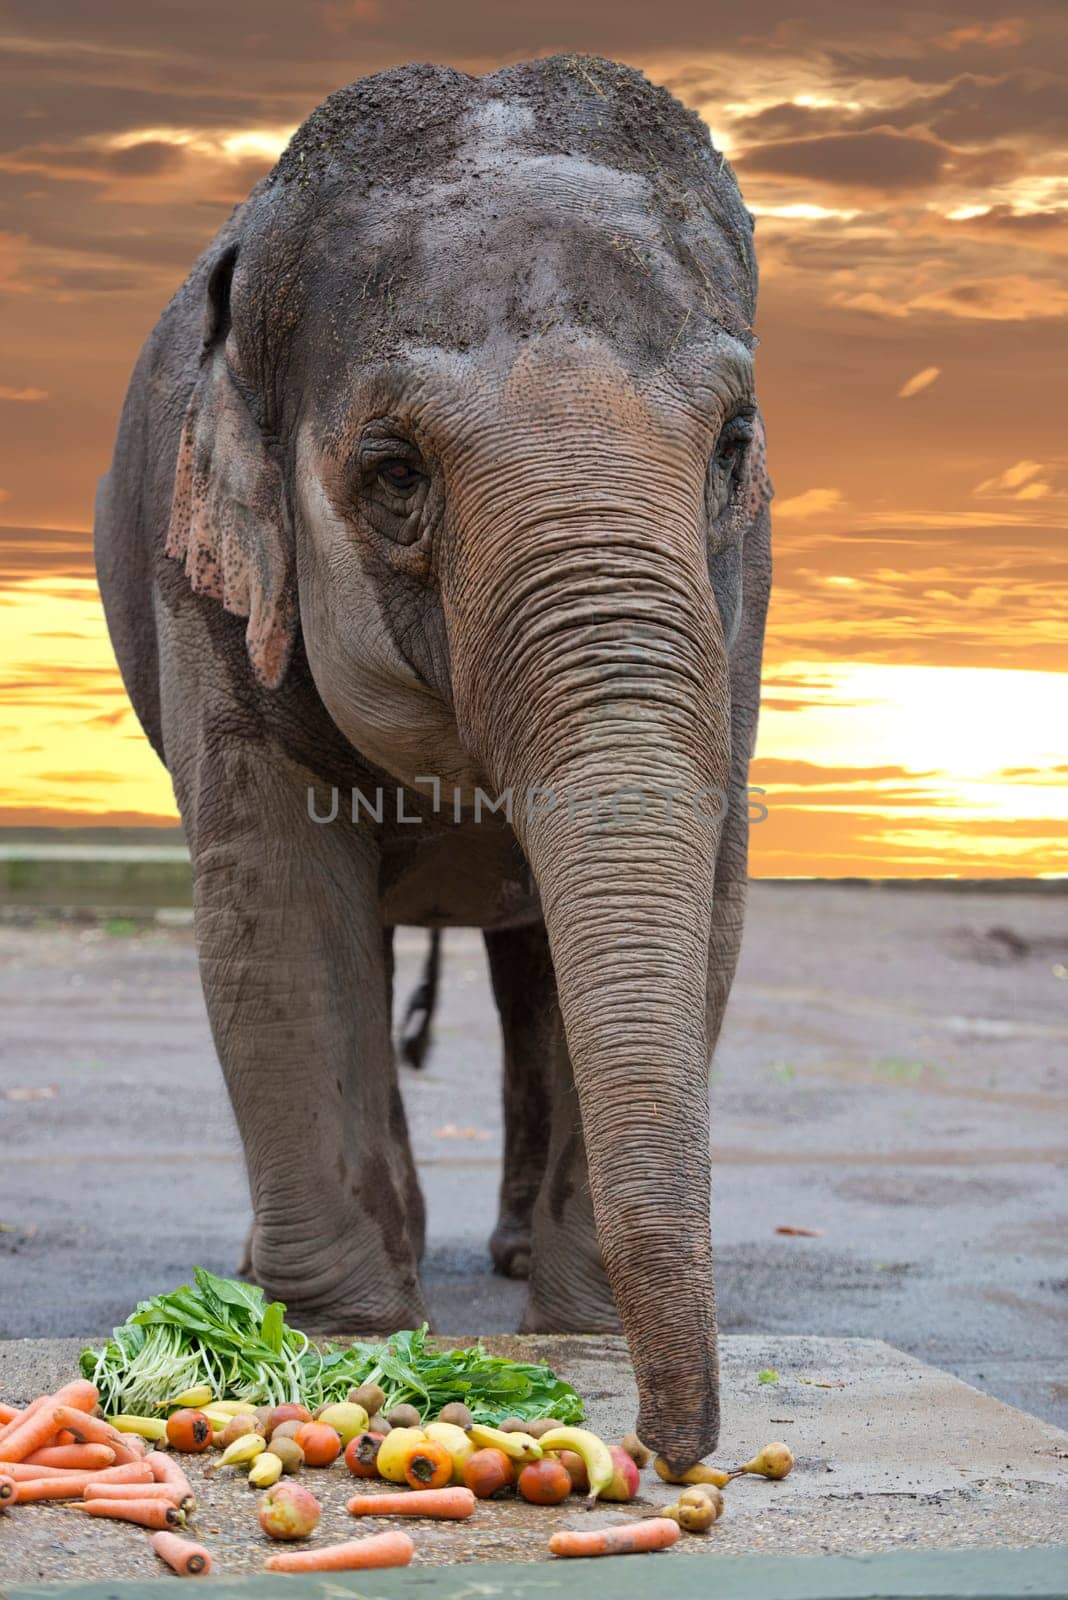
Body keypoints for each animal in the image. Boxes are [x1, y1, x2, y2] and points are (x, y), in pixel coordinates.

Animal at [93, 56, 767, 1465]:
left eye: (734, 444)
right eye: (394, 474)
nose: (670, 1446)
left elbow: (704, 904)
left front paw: (570, 1336)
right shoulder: (205, 587)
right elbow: (275, 914)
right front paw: (342, 1334)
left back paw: (507, 1257)